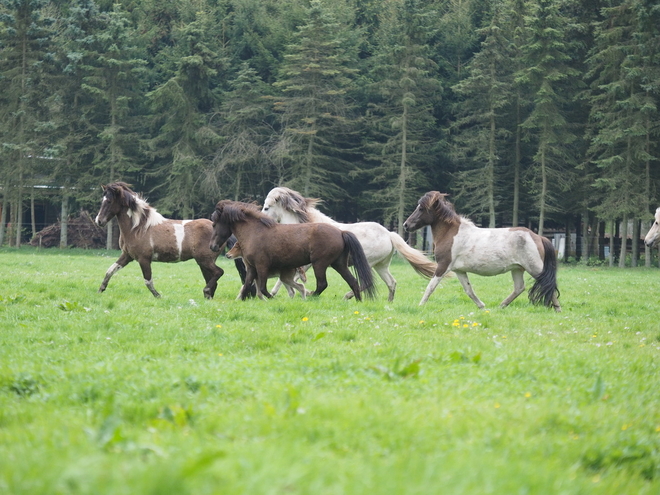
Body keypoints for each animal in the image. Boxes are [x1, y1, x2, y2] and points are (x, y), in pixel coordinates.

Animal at [93, 182, 226, 298]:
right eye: (102, 200)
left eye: (109, 201)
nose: (99, 221)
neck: (137, 228)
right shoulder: (127, 256)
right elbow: (110, 271)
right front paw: (100, 290)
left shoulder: (144, 259)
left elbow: (148, 281)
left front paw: (158, 296)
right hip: (203, 262)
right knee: (213, 279)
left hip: (205, 260)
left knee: (219, 272)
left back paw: (206, 291)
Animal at [211, 201, 376, 302]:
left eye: (214, 224)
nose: (212, 247)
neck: (254, 231)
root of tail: (341, 232)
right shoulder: (252, 268)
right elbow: (247, 286)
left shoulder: (262, 266)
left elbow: (263, 288)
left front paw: (272, 299)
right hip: (339, 264)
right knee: (353, 281)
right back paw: (358, 301)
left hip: (320, 264)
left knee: (322, 284)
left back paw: (310, 297)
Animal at [260, 187, 438, 300]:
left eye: (267, 207)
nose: (261, 219)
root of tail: (389, 234)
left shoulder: (308, 263)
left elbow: (287, 278)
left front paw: (280, 293)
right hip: (381, 266)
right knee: (391, 283)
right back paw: (388, 302)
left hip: (369, 263)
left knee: (367, 282)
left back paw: (347, 296)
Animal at [402, 192, 564, 312]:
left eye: (421, 208)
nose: (406, 225)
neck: (451, 233)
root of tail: (538, 237)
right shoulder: (459, 270)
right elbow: (469, 290)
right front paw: (482, 306)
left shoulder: (443, 266)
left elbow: (430, 287)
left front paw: (420, 305)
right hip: (517, 269)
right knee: (519, 288)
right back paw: (501, 306)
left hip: (535, 268)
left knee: (547, 284)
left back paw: (558, 310)